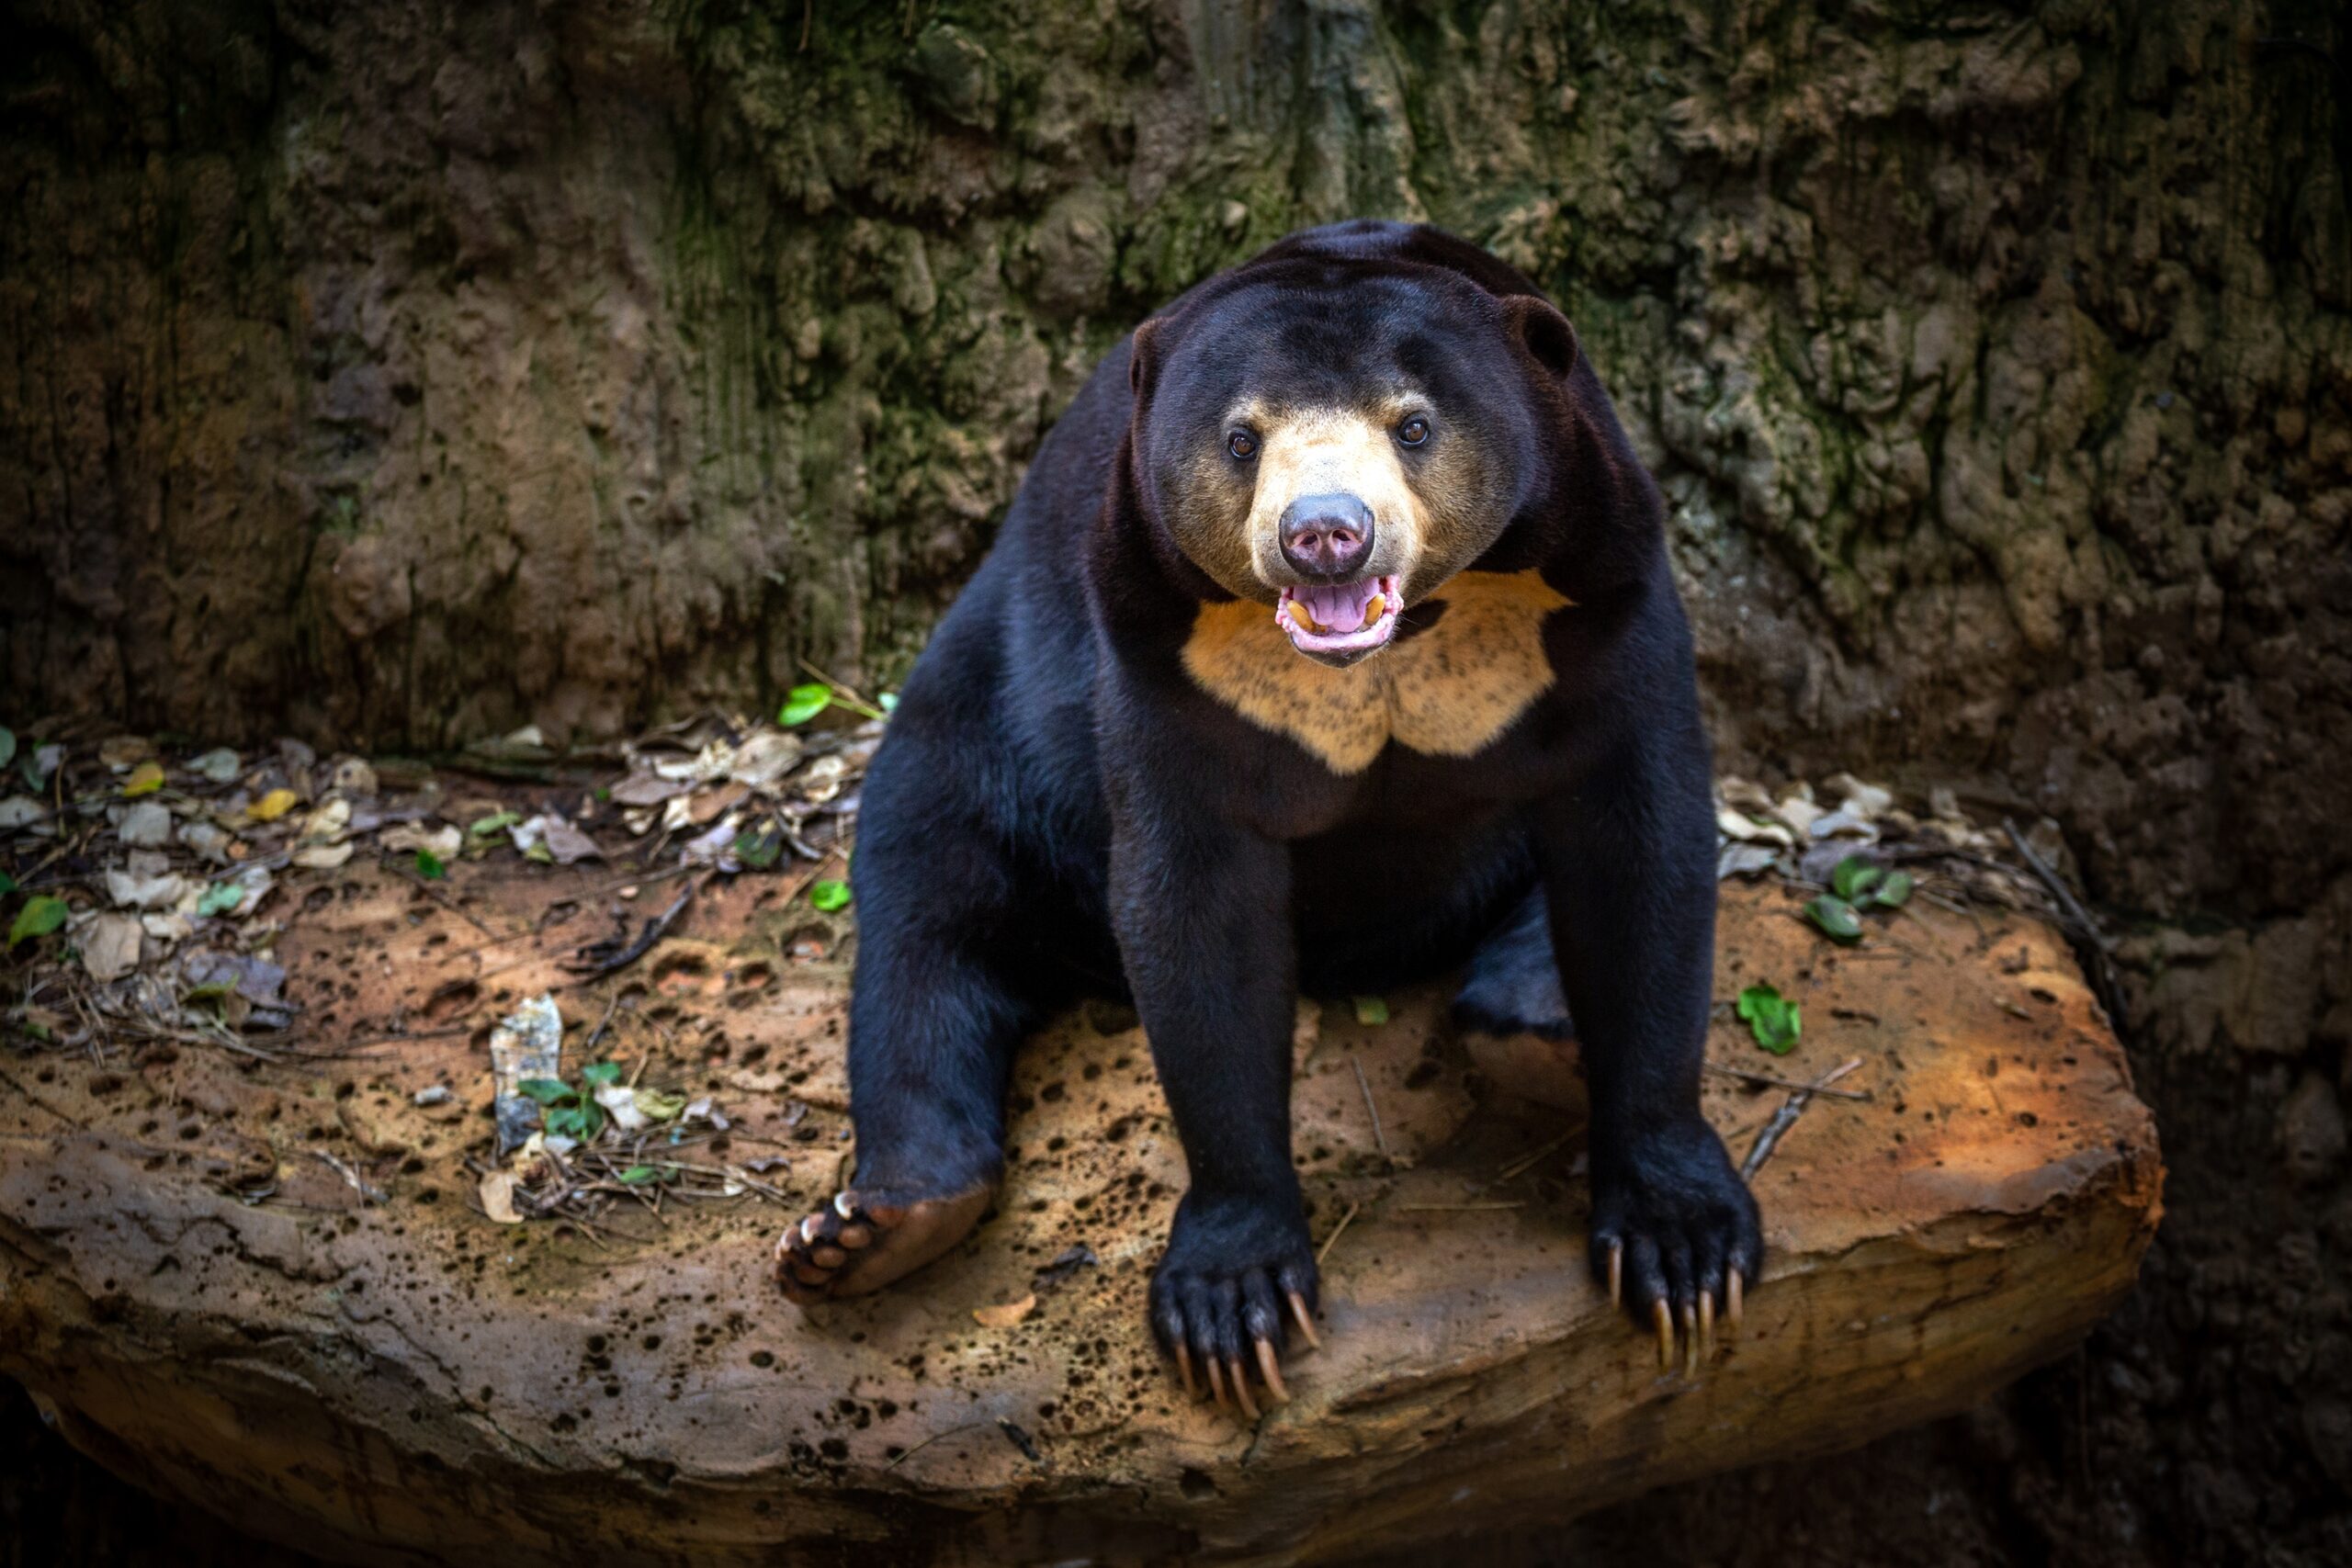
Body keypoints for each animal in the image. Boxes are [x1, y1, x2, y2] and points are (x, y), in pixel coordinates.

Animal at [780, 217, 1758, 1410]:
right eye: (1242, 439)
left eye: (1413, 424)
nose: (1326, 534)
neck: (1402, 639)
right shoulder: (1162, 646)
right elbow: (1194, 913)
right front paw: (1231, 1302)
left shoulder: (1599, 585)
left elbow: (1643, 852)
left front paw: (1682, 1250)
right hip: (986, 721)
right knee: (927, 899)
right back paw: (870, 1229)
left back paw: (1536, 1032)